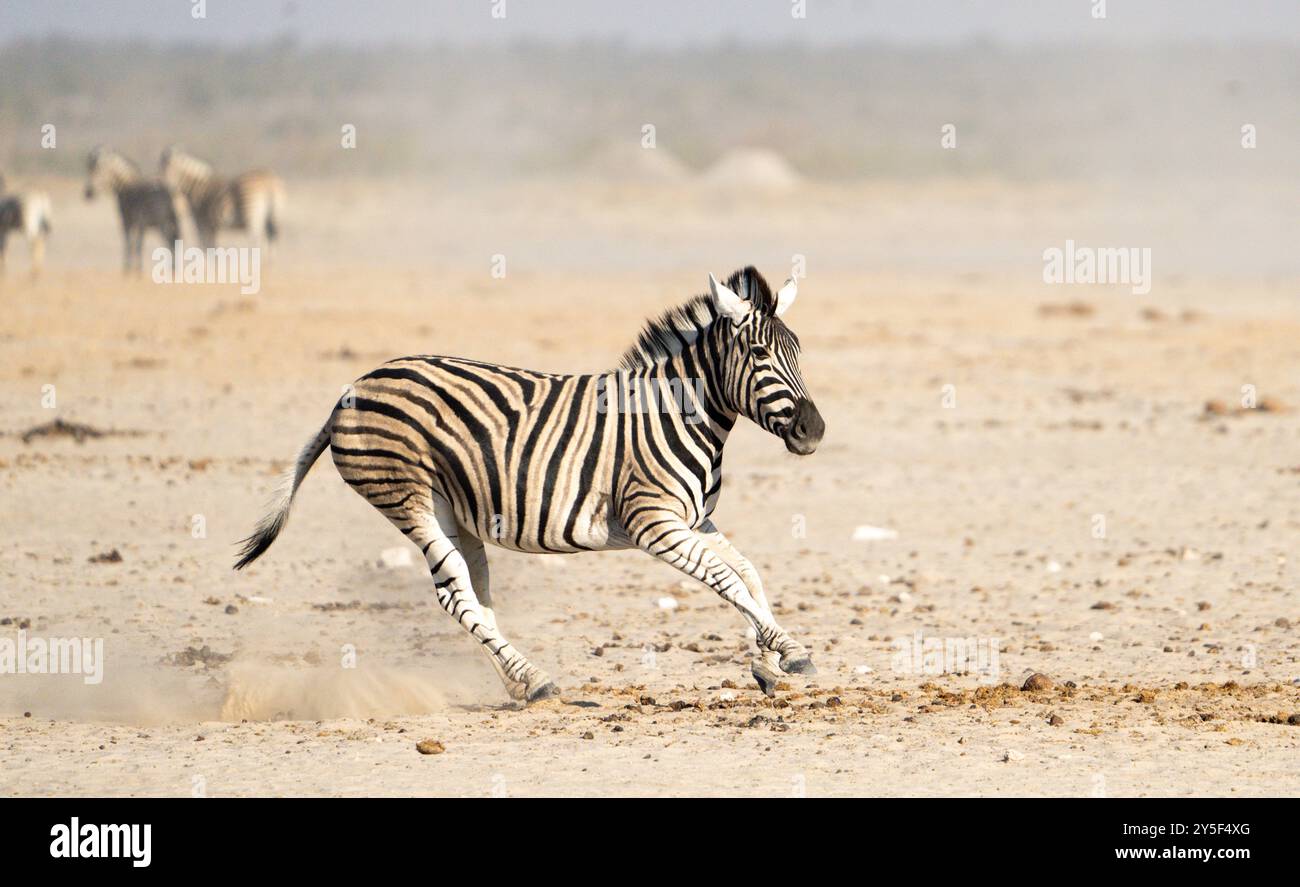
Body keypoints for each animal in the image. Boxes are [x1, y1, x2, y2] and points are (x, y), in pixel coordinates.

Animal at [234, 266, 826, 702]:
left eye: (799, 352)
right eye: (759, 354)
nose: (813, 431)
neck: (676, 414)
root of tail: (351, 390)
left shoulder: (695, 519)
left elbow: (748, 574)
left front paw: (770, 657)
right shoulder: (653, 523)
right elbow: (727, 581)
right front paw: (789, 651)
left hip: (453, 510)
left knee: (474, 596)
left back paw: (517, 681)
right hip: (408, 497)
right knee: (454, 594)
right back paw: (534, 679)